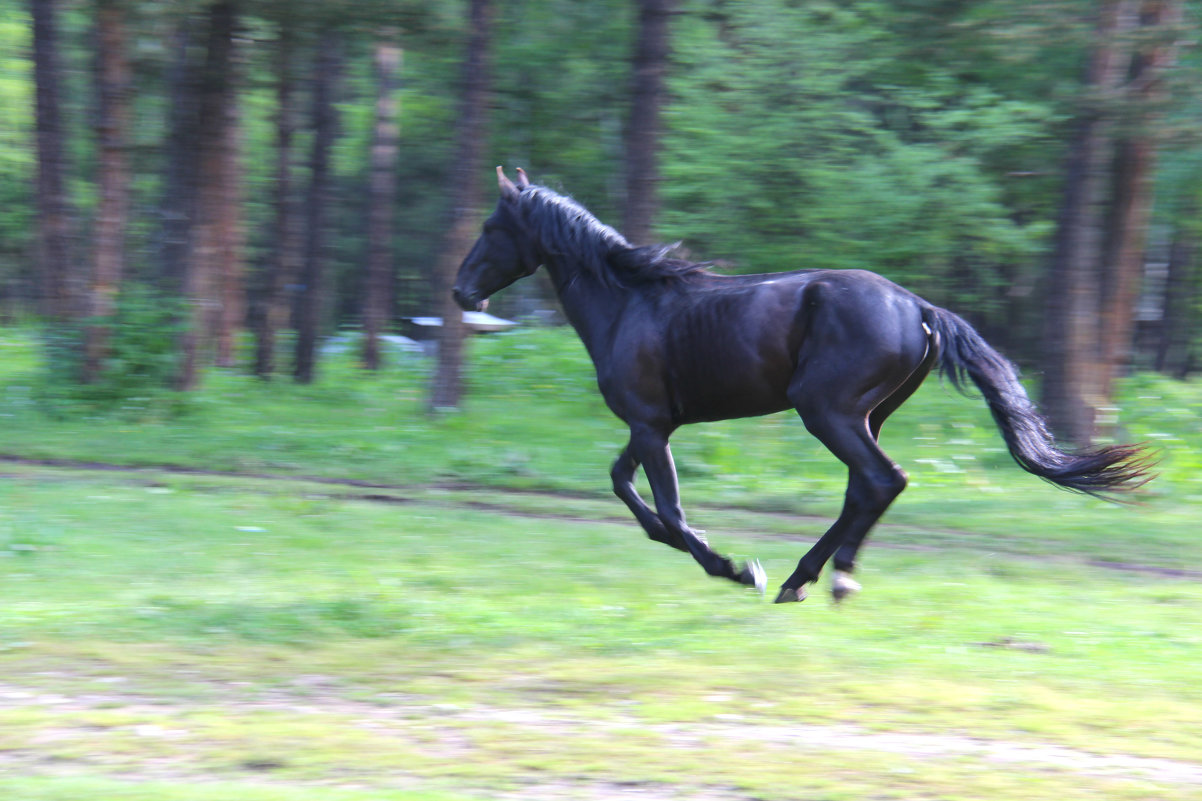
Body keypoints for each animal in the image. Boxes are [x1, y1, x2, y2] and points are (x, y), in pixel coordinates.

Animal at [451, 168, 1153, 601]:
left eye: (490, 228)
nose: (460, 292)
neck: (630, 305)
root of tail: (920, 309)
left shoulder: (650, 426)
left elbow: (669, 510)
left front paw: (736, 569)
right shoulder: (652, 425)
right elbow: (627, 489)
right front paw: (727, 562)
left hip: (827, 413)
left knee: (881, 481)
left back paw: (818, 579)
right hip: (864, 416)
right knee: (863, 490)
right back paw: (811, 577)